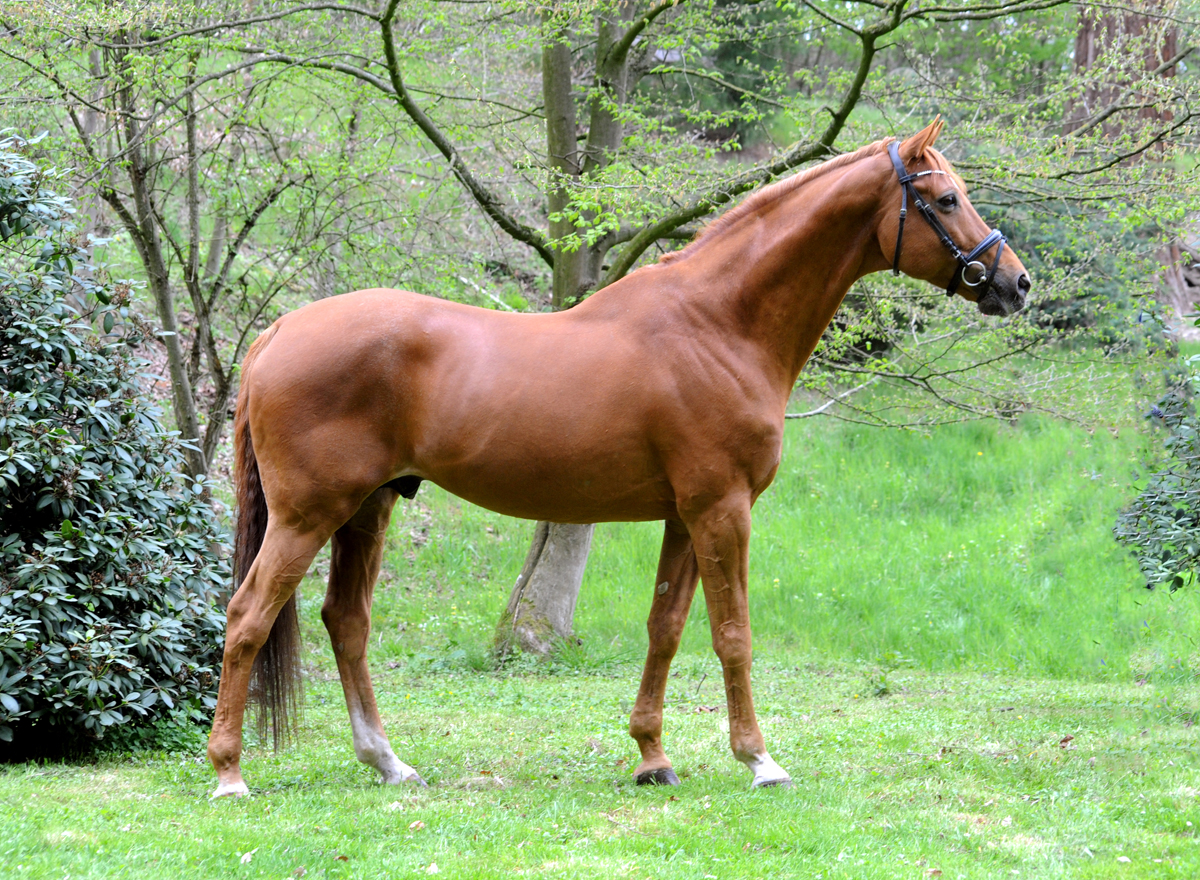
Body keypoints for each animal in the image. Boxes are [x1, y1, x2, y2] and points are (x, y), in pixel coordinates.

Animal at [206, 118, 1032, 797]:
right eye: (948, 199)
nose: (1016, 282)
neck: (719, 322)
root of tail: (281, 330)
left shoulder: (685, 516)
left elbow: (665, 626)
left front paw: (651, 757)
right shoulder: (723, 509)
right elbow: (733, 635)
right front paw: (758, 759)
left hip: (367, 511)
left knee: (345, 621)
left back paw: (387, 762)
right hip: (308, 516)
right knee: (248, 615)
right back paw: (229, 773)